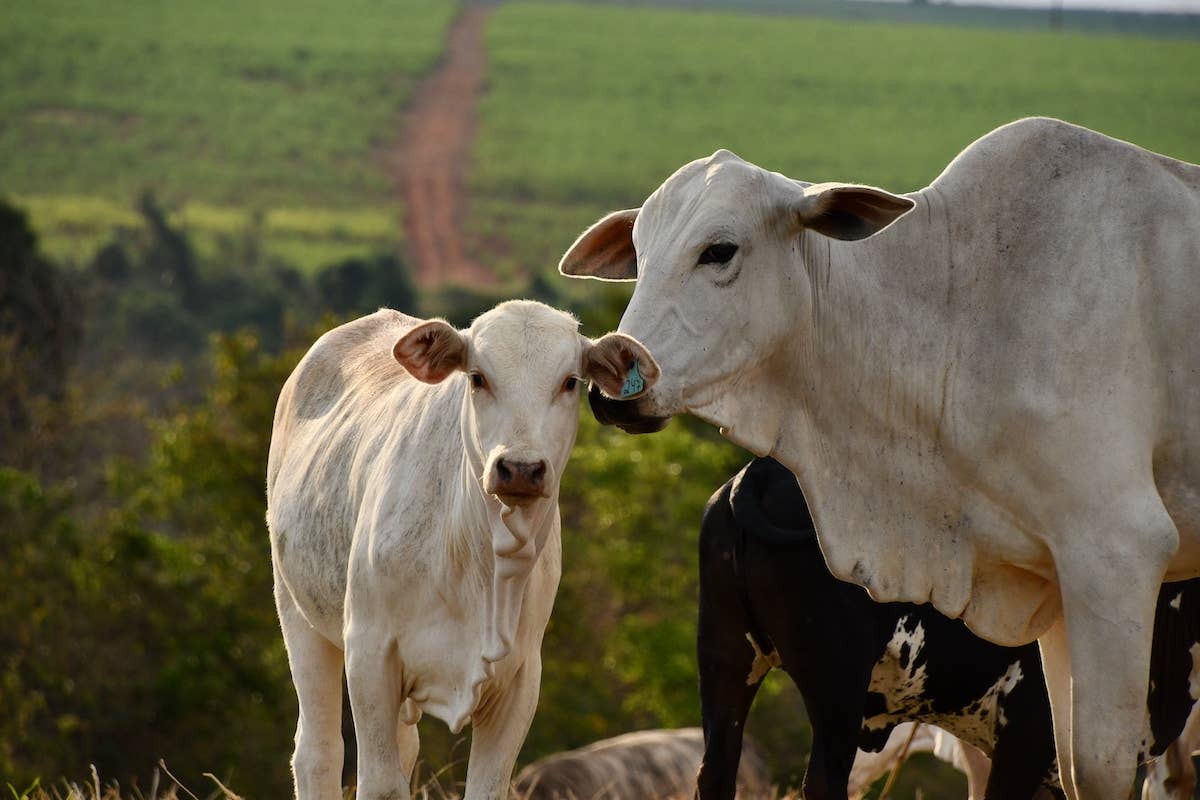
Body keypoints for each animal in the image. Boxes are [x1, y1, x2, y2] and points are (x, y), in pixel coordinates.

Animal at [265, 300, 658, 800]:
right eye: (477, 377)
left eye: (570, 381)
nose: (520, 468)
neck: (480, 564)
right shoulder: (369, 654)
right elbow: (379, 784)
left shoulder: (520, 679)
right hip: (298, 613)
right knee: (319, 751)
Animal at [697, 457, 1200, 800]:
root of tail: (761, 469)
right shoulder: (1027, 734)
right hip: (837, 682)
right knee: (822, 780)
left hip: (726, 657)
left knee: (716, 771)